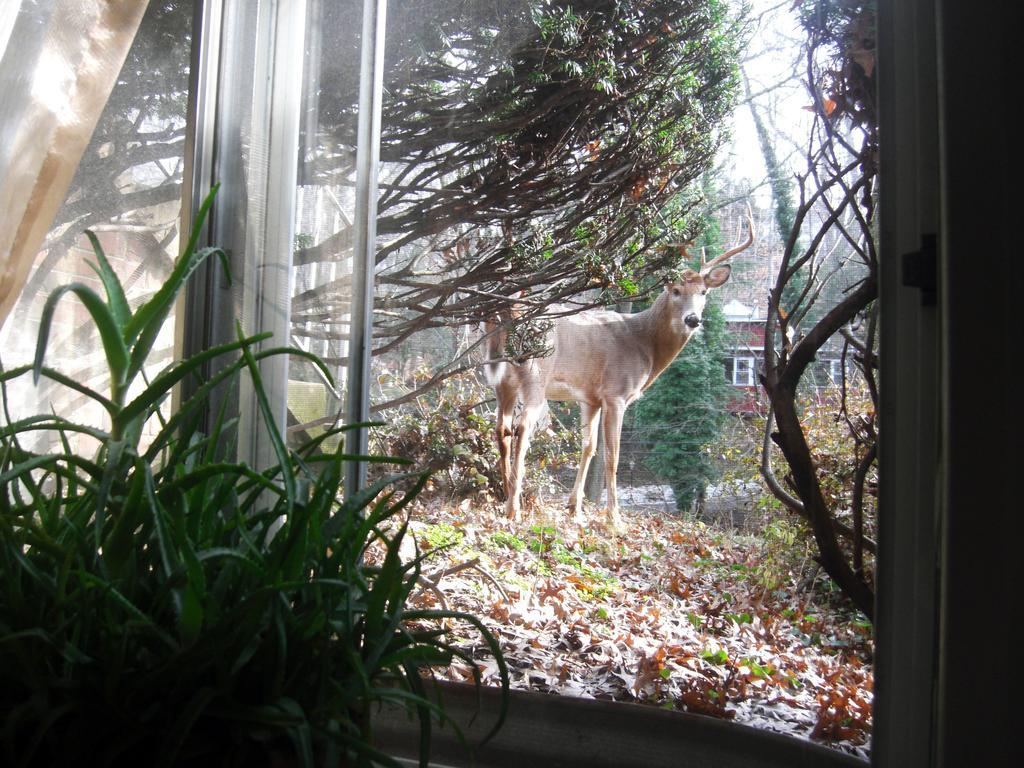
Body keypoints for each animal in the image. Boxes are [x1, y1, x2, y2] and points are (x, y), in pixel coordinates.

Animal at [483, 211, 757, 536]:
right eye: (675, 291)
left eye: (703, 292)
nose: (693, 319)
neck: (644, 344)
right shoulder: (616, 393)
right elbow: (612, 456)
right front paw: (614, 518)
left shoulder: (590, 398)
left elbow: (589, 447)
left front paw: (574, 509)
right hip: (536, 375)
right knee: (523, 429)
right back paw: (514, 508)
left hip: (503, 382)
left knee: (502, 430)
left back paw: (504, 493)